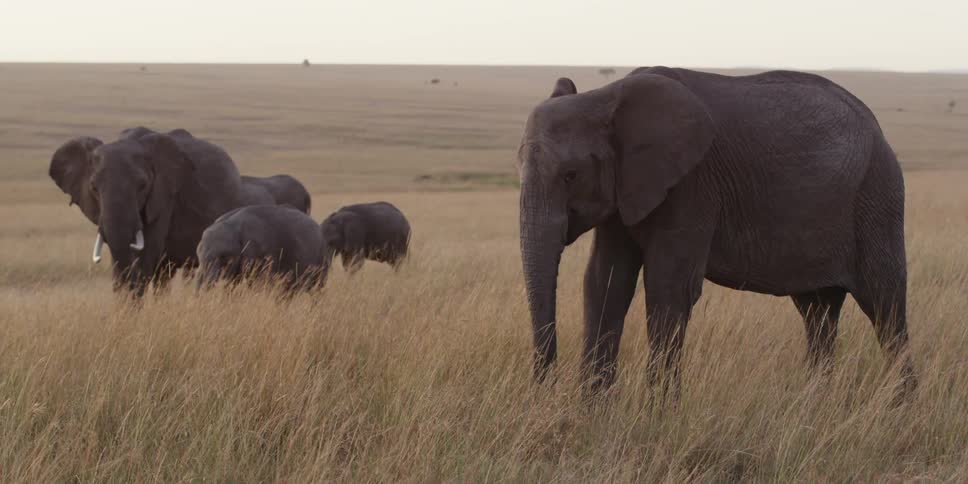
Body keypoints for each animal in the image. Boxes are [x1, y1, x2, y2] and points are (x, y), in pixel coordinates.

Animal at [195, 205, 331, 291]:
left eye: (224, 257)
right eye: (198, 257)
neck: (233, 227)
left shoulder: (261, 255)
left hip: (322, 258)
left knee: (317, 289)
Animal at [517, 67, 915, 395]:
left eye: (570, 175)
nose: (545, 387)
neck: (603, 98)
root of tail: (877, 127)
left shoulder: (692, 184)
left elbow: (668, 286)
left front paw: (658, 413)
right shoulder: (626, 188)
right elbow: (605, 280)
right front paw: (594, 411)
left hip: (877, 198)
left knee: (886, 307)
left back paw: (900, 408)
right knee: (818, 313)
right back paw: (814, 405)